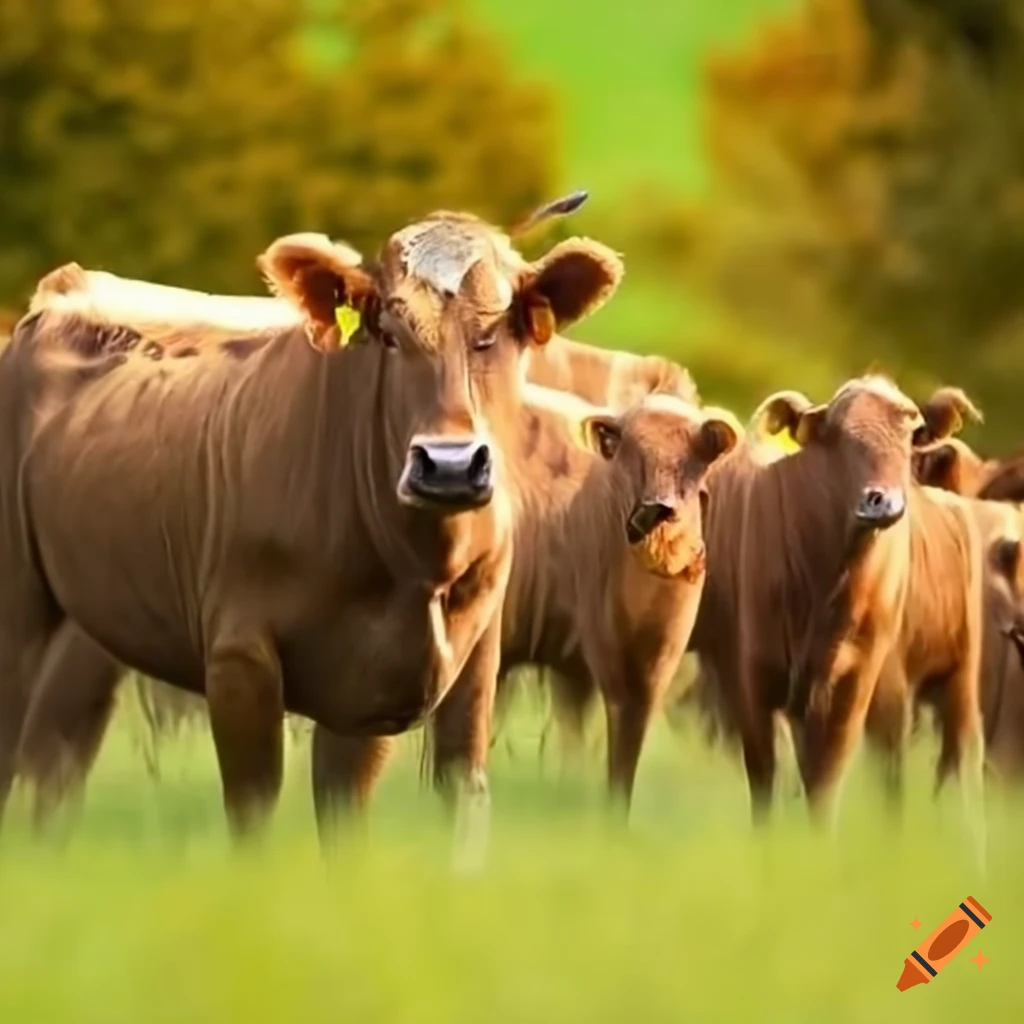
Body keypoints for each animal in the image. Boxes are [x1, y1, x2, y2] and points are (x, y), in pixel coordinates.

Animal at [0, 211, 625, 846]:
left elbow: (433, 804)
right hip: (17, 609)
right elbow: (252, 811)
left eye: (497, 331)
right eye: (389, 332)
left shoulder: (442, 672)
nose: (448, 465)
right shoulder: (240, 658)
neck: (412, 568)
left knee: (57, 761)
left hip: (90, 627)